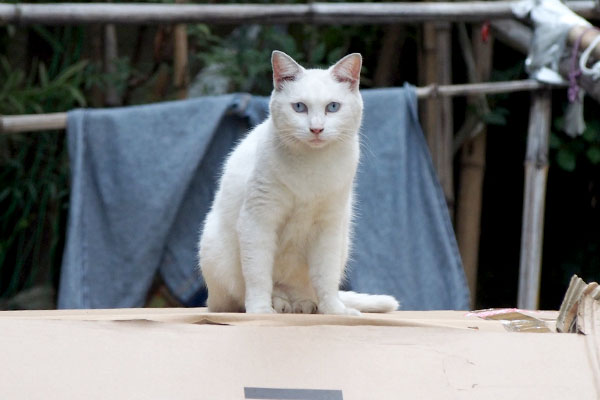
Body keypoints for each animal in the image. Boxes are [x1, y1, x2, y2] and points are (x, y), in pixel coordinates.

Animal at [199, 50, 400, 314]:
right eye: (299, 107)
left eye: (333, 107)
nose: (316, 129)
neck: (312, 165)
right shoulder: (258, 221)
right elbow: (258, 276)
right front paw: (260, 311)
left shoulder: (328, 227)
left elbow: (325, 278)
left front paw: (335, 312)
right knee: (246, 294)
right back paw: (279, 304)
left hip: (342, 242)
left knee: (307, 290)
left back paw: (303, 305)